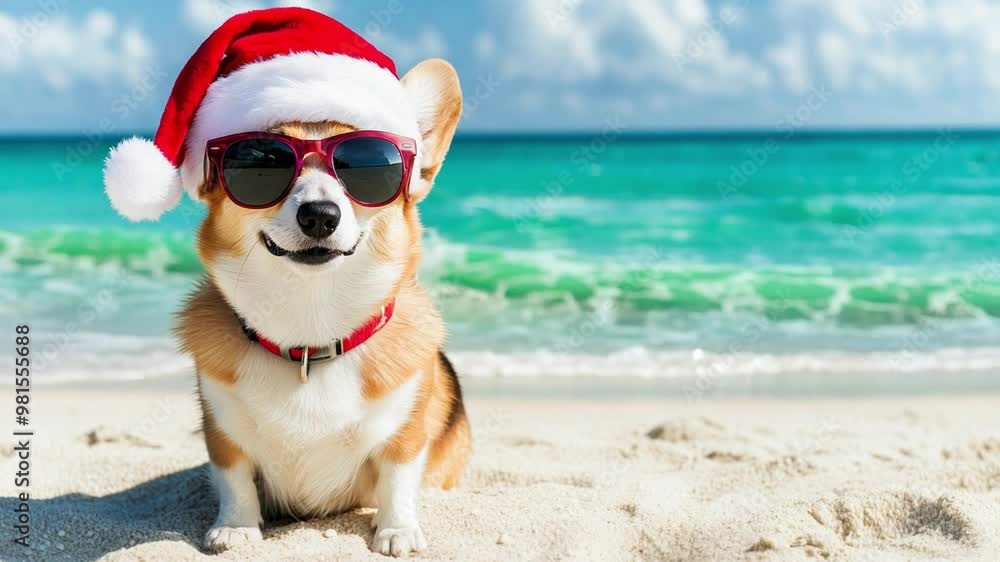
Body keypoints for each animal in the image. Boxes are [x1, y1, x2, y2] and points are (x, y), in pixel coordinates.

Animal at [172, 59, 468, 556]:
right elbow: (234, 478)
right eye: (263, 161)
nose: (319, 215)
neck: (309, 332)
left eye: (366, 166)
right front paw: (236, 527)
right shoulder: (222, 430)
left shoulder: (405, 434)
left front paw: (397, 531)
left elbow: (398, 478)